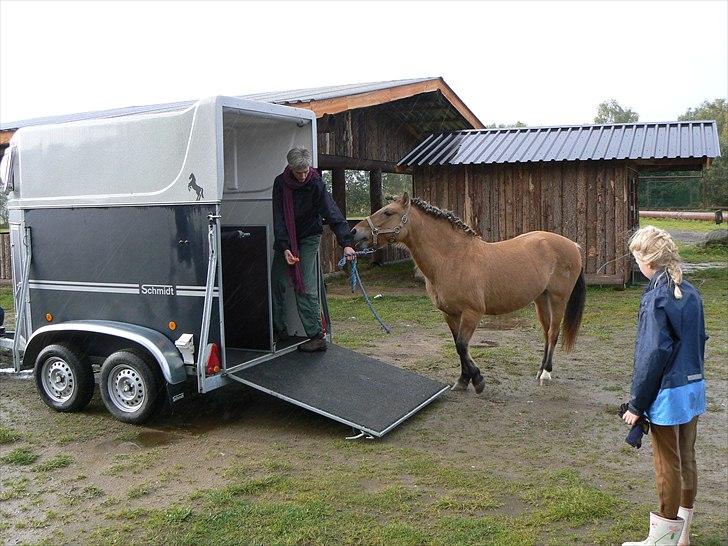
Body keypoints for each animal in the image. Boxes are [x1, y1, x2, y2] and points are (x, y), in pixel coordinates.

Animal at [352, 193, 584, 388]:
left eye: (388, 212)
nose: (355, 232)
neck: (452, 258)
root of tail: (573, 245)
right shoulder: (450, 314)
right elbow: (457, 345)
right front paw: (464, 380)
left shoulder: (473, 313)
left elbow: (463, 345)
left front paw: (478, 380)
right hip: (541, 298)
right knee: (546, 332)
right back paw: (540, 369)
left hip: (558, 299)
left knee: (553, 332)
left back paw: (546, 372)